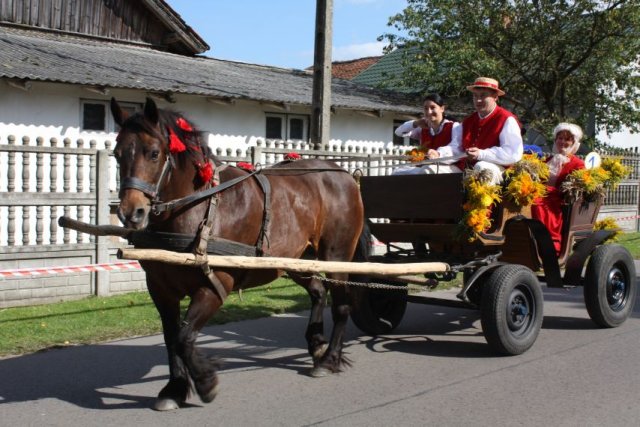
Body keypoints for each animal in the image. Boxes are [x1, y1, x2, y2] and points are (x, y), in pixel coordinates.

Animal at [109, 97, 365, 411]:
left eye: (154, 153)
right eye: (117, 153)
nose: (130, 213)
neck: (197, 207)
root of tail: (343, 174)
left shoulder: (215, 284)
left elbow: (184, 336)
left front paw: (206, 382)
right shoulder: (160, 289)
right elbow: (171, 338)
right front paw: (175, 388)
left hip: (336, 255)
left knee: (342, 306)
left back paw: (329, 360)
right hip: (295, 259)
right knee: (318, 291)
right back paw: (317, 343)